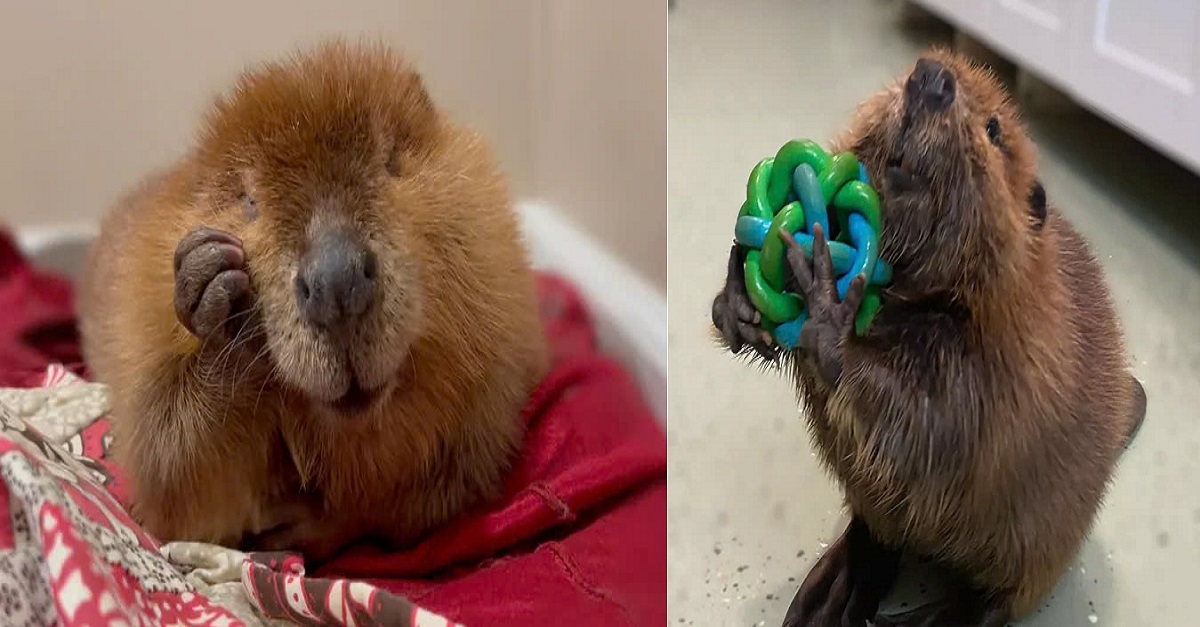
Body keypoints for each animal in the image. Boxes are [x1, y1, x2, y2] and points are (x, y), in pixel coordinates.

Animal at [82, 39, 549, 557]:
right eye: (249, 200)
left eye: (390, 161)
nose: (336, 282)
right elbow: (172, 485)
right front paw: (213, 280)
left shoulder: (494, 381)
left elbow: (443, 483)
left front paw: (305, 521)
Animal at [710, 50, 1142, 624]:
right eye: (898, 79)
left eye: (994, 128)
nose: (931, 78)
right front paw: (739, 298)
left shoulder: (1016, 356)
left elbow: (936, 420)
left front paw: (823, 298)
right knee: (877, 534)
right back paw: (833, 591)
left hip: (1045, 540)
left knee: (998, 595)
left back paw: (921, 615)